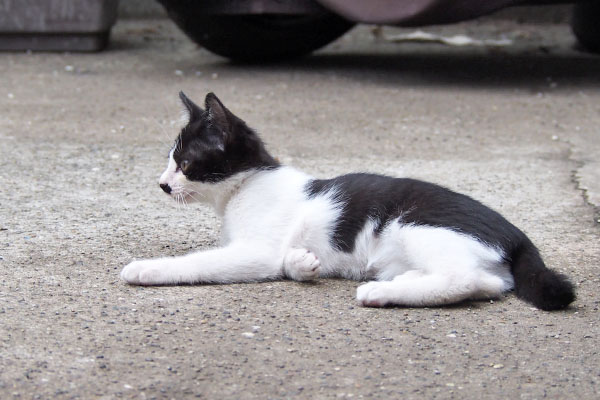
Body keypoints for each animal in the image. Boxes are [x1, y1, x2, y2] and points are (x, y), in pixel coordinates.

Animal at [119, 93, 576, 310]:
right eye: (169, 161)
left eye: (185, 163)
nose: (162, 184)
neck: (247, 185)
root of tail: (516, 234)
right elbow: (293, 260)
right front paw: (301, 264)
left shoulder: (255, 250)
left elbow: (199, 261)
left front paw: (146, 268)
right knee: (490, 283)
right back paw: (397, 284)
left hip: (415, 224)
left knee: (463, 279)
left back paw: (380, 294)